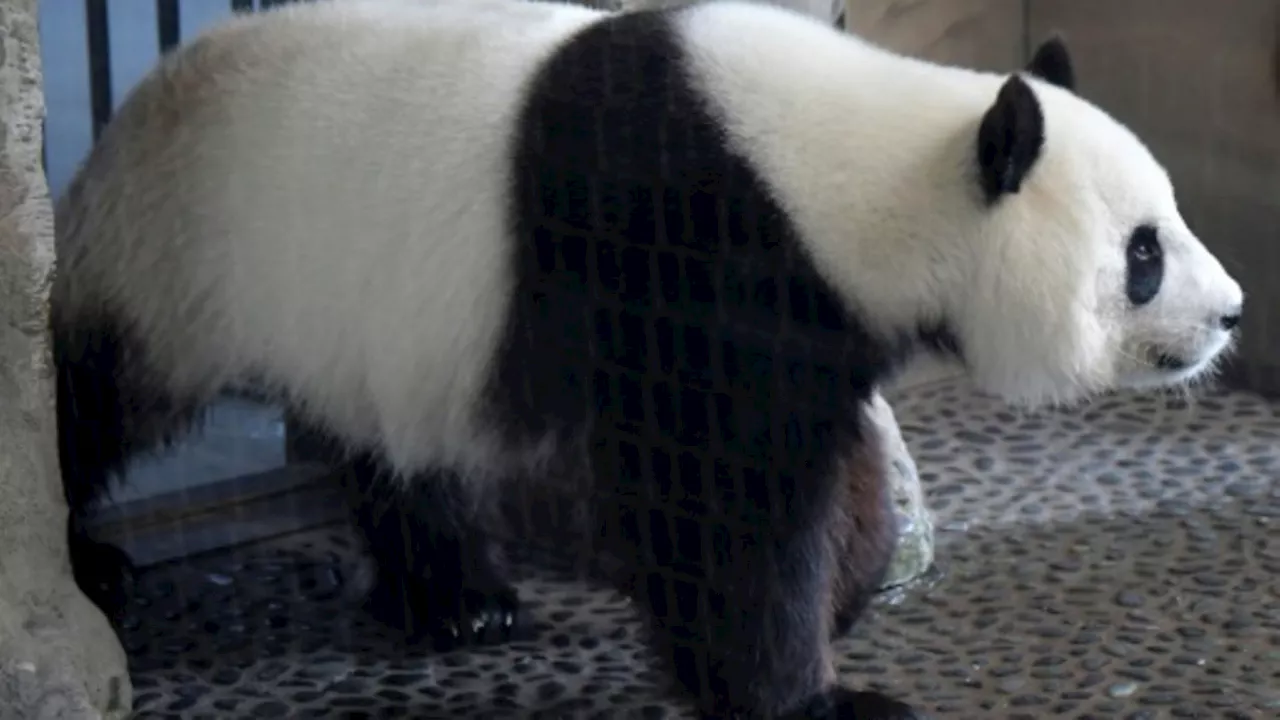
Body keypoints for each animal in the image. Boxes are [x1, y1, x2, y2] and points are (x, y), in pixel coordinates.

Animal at [55, 0, 1244, 712]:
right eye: (1142, 253)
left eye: (1170, 221)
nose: (1232, 315)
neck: (858, 172)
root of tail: (151, 87)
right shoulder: (688, 256)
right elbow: (718, 507)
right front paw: (812, 693)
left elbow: (821, 469)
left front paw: (850, 589)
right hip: (181, 254)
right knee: (95, 391)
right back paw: (93, 561)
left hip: (365, 316)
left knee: (394, 446)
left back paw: (457, 597)